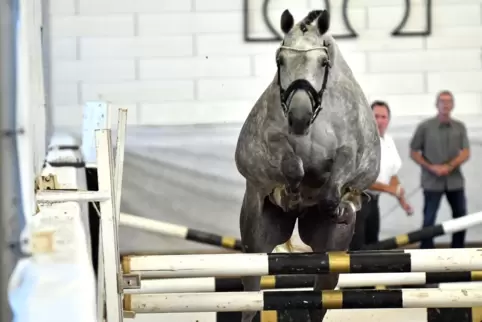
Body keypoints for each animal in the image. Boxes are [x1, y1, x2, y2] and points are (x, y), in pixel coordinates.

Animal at [235, 8, 382, 320]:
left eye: (323, 62)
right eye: (280, 59)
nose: (299, 117)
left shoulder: (349, 153)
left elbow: (334, 183)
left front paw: (339, 206)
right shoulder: (272, 139)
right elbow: (292, 164)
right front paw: (290, 195)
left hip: (332, 254)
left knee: (322, 292)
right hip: (256, 241)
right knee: (251, 291)